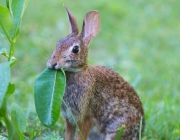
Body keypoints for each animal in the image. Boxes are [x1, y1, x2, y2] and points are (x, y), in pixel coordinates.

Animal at [46, 7, 145, 140]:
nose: (52, 63)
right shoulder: (69, 119)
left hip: (117, 129)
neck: (77, 72)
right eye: (58, 43)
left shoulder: (86, 119)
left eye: (75, 49)